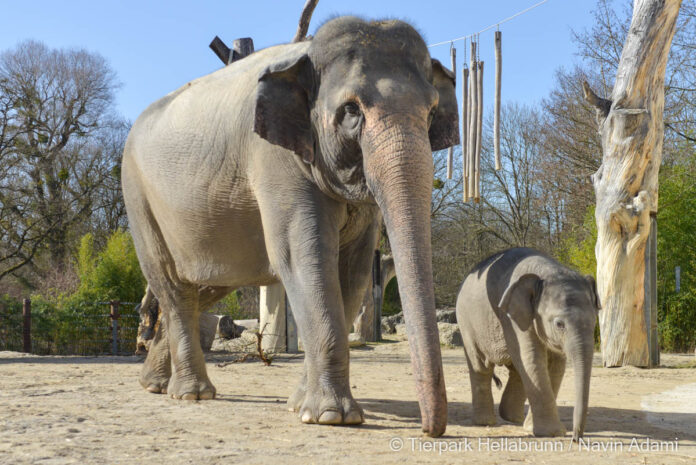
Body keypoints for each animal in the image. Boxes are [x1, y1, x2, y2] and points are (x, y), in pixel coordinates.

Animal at [122, 16, 460, 436]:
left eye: (431, 113)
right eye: (351, 110)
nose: (430, 430)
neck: (308, 51)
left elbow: (353, 269)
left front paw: (301, 405)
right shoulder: (275, 159)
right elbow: (305, 258)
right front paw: (333, 417)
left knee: (205, 285)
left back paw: (152, 383)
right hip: (137, 198)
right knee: (171, 282)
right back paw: (191, 394)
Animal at [456, 246, 600, 438]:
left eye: (594, 321)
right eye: (559, 324)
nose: (576, 438)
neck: (548, 271)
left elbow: (555, 365)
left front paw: (534, 429)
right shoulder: (511, 317)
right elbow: (532, 358)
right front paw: (552, 433)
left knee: (516, 369)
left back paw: (512, 418)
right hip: (466, 323)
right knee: (481, 366)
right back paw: (486, 422)